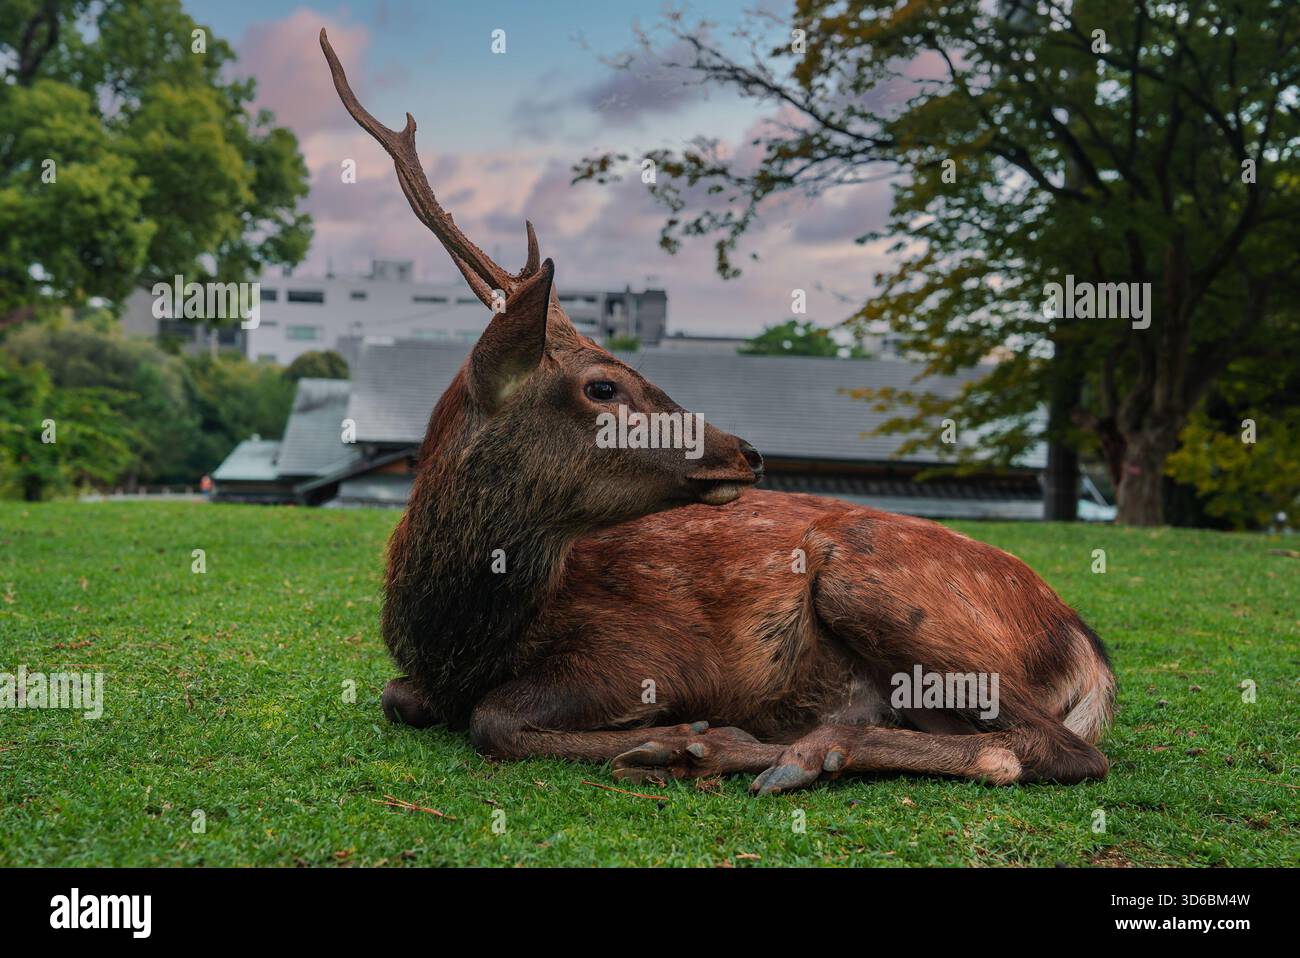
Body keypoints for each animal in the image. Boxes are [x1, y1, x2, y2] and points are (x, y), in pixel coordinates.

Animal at [320, 29, 1114, 794]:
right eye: (602, 388)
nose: (745, 450)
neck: (460, 638)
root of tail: (1086, 646)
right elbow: (399, 696)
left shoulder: (644, 651)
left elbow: (495, 719)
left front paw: (687, 735)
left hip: (878, 588)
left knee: (1049, 748)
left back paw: (768, 752)